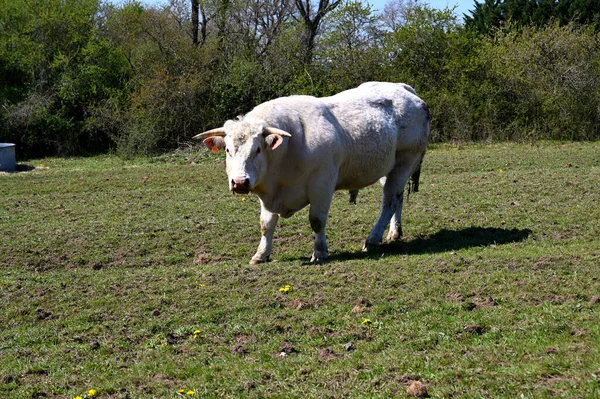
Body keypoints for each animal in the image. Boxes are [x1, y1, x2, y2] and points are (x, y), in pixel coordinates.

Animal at [195, 81, 428, 264]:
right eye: (227, 150)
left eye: (257, 149)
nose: (240, 182)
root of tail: (404, 89)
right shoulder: (268, 192)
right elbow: (266, 224)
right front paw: (261, 254)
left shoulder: (322, 184)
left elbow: (316, 220)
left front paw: (319, 252)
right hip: (387, 169)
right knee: (397, 198)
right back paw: (394, 232)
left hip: (404, 161)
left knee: (390, 200)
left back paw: (372, 239)